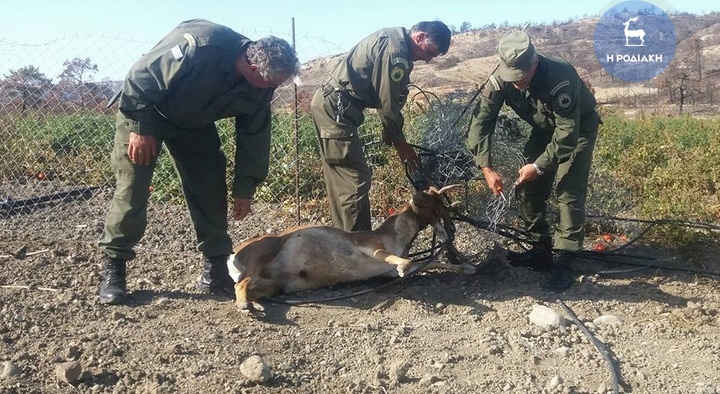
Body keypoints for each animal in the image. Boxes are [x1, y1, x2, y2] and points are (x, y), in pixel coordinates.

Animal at [229, 185, 478, 310]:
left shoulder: (387, 271)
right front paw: (404, 266)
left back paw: (253, 304)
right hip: (266, 252)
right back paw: (243, 304)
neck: (395, 235)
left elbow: (431, 262)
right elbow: (396, 259)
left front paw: (468, 268)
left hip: (274, 285)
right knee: (241, 283)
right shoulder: (369, 247)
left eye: (437, 208)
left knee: (249, 285)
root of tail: (234, 256)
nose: (415, 194)